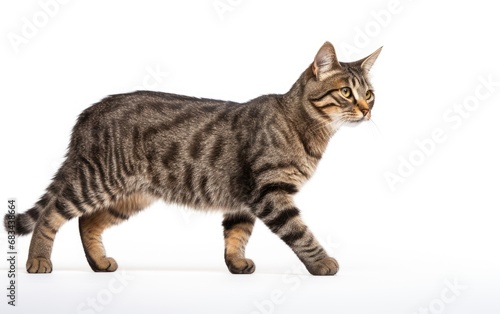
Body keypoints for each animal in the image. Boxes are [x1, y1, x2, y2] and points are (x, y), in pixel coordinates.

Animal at [3, 41, 380, 274]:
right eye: (346, 92)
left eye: (371, 94)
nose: (366, 110)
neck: (306, 130)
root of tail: (89, 112)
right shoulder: (269, 193)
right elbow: (301, 234)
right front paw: (322, 263)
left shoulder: (243, 200)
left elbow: (236, 235)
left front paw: (236, 264)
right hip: (96, 180)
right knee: (52, 214)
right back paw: (38, 260)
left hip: (129, 196)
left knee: (87, 222)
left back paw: (98, 262)